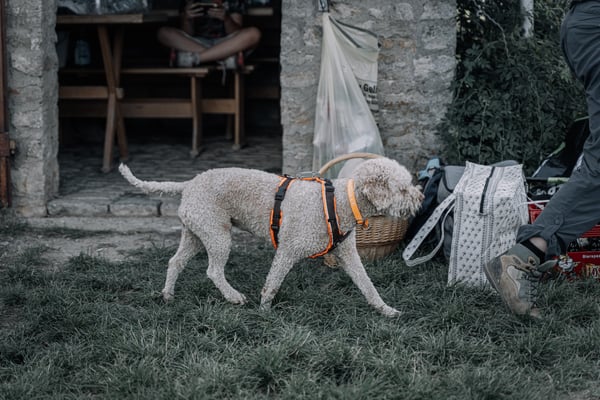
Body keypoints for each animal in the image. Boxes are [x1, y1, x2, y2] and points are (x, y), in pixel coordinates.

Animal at [119, 157, 422, 317]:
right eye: (402, 189)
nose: (420, 197)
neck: (340, 202)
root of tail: (189, 183)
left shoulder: (348, 254)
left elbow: (367, 284)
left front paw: (386, 310)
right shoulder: (288, 250)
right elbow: (273, 283)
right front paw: (264, 311)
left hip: (195, 232)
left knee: (175, 262)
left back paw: (168, 296)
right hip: (217, 235)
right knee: (213, 271)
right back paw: (233, 297)